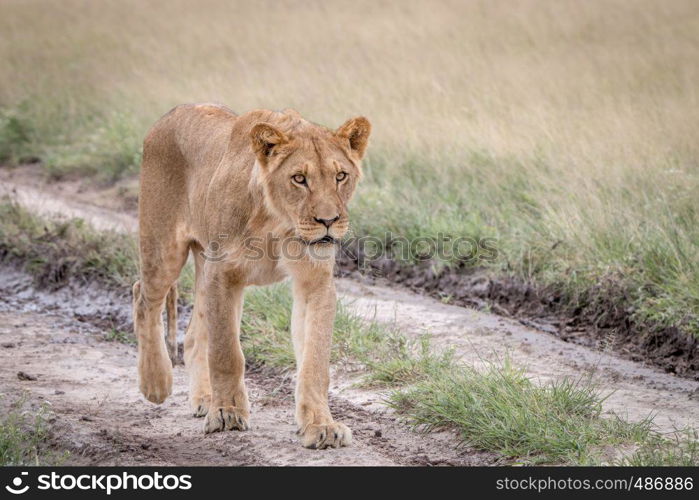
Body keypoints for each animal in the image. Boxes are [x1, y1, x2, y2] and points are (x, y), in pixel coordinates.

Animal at [133, 102, 372, 450]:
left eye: (341, 176)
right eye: (299, 179)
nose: (328, 221)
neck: (279, 223)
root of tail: (173, 112)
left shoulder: (315, 282)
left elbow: (314, 361)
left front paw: (321, 426)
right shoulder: (223, 274)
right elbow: (226, 352)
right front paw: (227, 414)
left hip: (203, 265)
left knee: (194, 336)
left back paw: (204, 398)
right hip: (164, 248)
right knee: (144, 297)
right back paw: (156, 383)